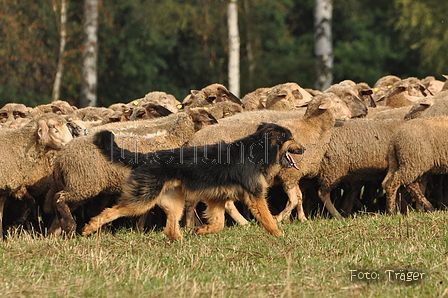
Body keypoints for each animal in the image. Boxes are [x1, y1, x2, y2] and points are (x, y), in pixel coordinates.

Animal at [46, 108, 219, 234]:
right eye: (206, 118)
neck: (171, 138)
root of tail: (60, 157)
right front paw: (140, 230)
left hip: (79, 184)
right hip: (82, 183)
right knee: (59, 199)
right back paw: (70, 226)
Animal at [81, 122, 304, 239]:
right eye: (291, 138)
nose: (304, 148)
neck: (257, 150)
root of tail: (145, 157)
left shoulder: (216, 199)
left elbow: (219, 224)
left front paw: (201, 229)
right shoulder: (254, 196)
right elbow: (268, 219)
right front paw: (280, 236)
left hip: (174, 201)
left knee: (171, 229)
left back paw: (181, 241)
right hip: (142, 200)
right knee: (111, 211)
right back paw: (88, 229)